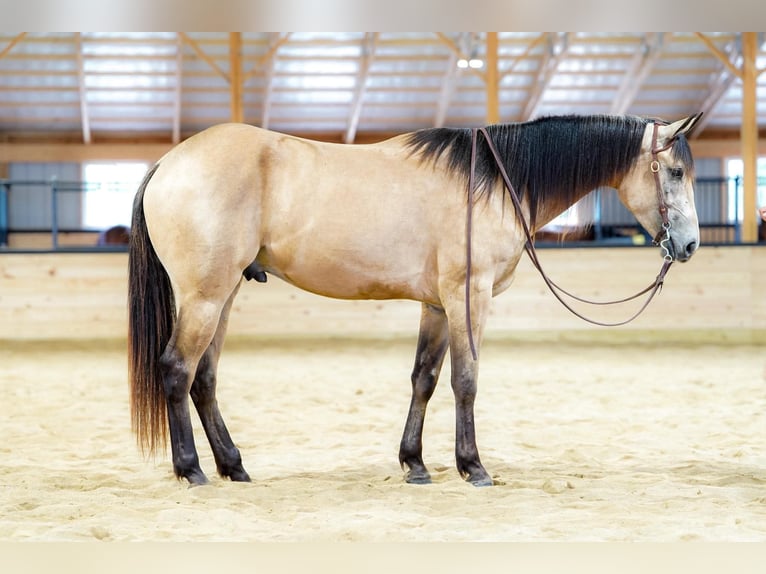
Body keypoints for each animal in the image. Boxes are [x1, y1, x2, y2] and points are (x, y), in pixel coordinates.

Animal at [128, 113, 702, 487]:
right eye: (675, 172)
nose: (690, 245)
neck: (491, 180)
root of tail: (168, 163)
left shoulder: (438, 306)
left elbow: (424, 379)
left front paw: (416, 464)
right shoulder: (469, 297)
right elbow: (465, 381)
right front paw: (473, 466)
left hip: (222, 296)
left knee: (204, 379)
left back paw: (233, 466)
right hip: (205, 297)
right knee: (177, 369)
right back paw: (192, 470)